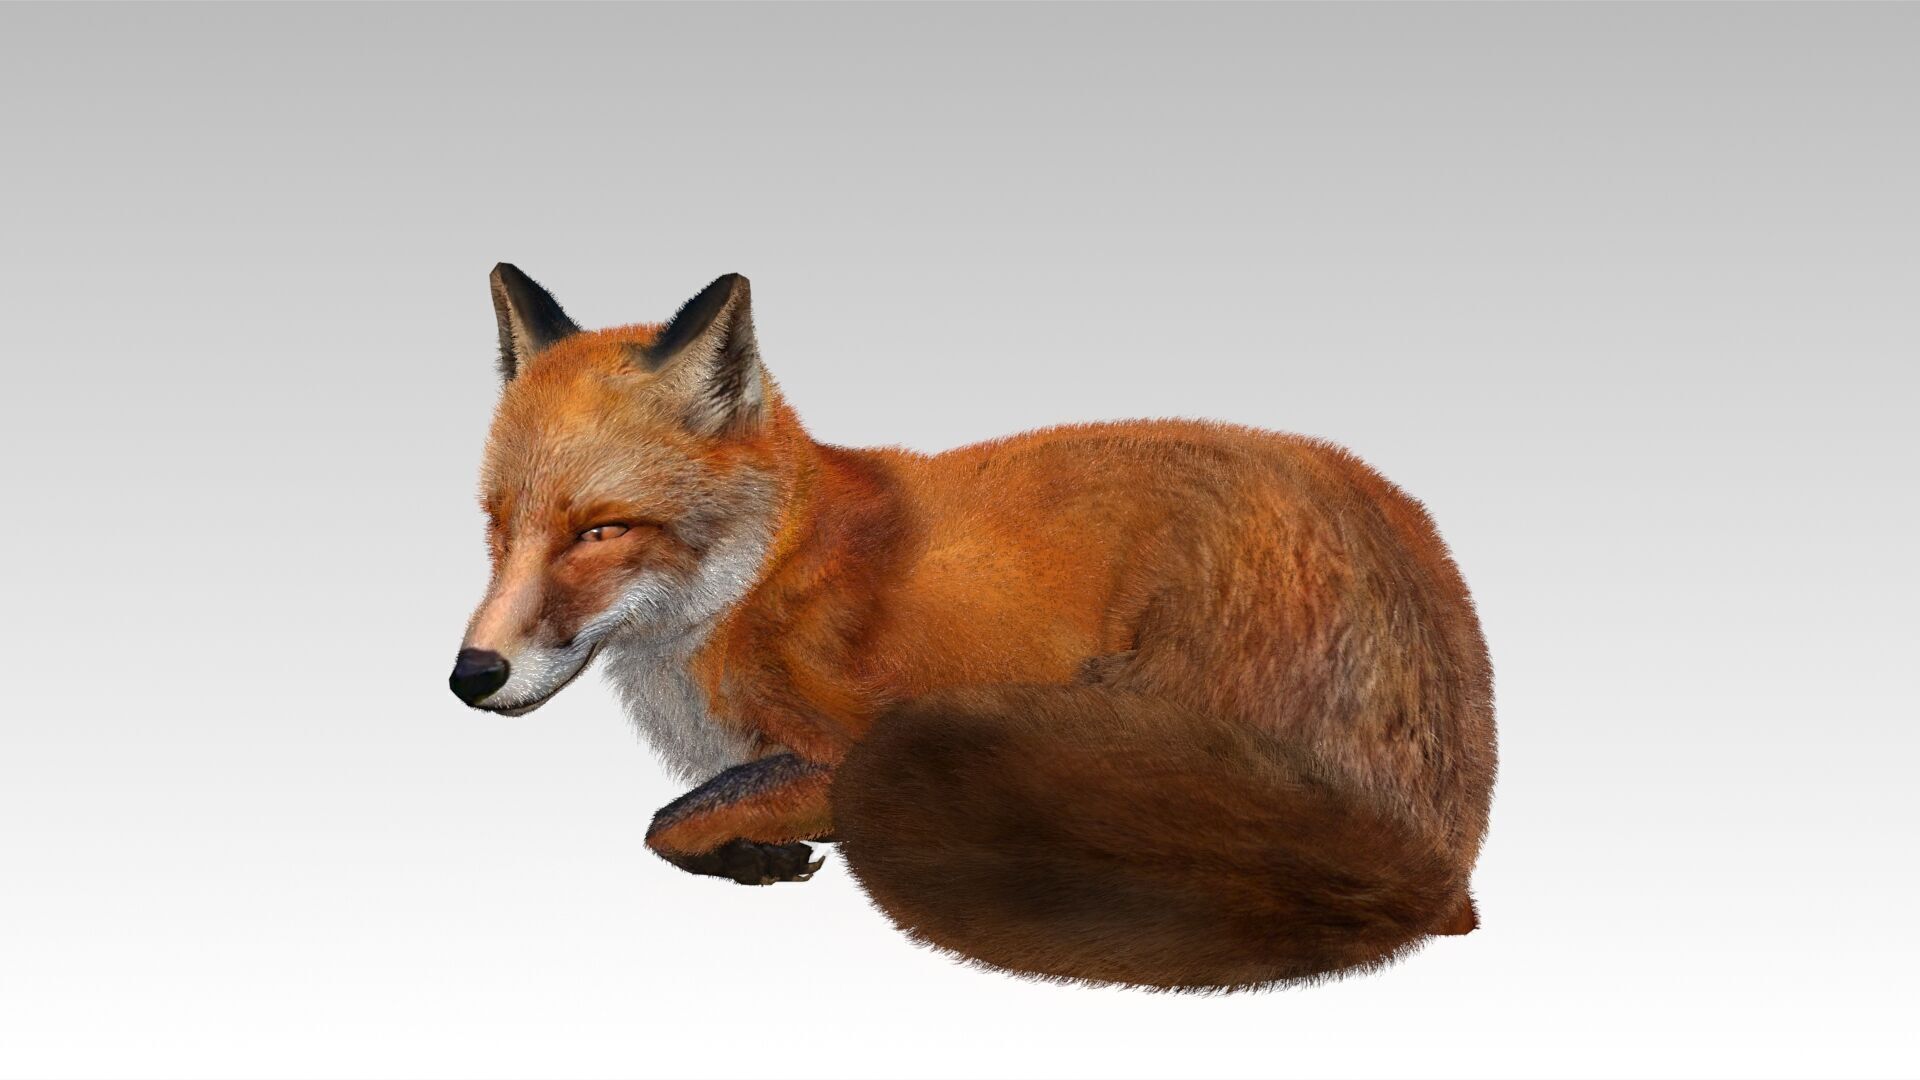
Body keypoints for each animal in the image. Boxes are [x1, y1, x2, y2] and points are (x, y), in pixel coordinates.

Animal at [451, 265, 1496, 990]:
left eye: (601, 531)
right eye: (497, 525)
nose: (472, 675)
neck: (766, 573)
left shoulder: (844, 745)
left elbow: (670, 822)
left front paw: (750, 851)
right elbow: (681, 817)